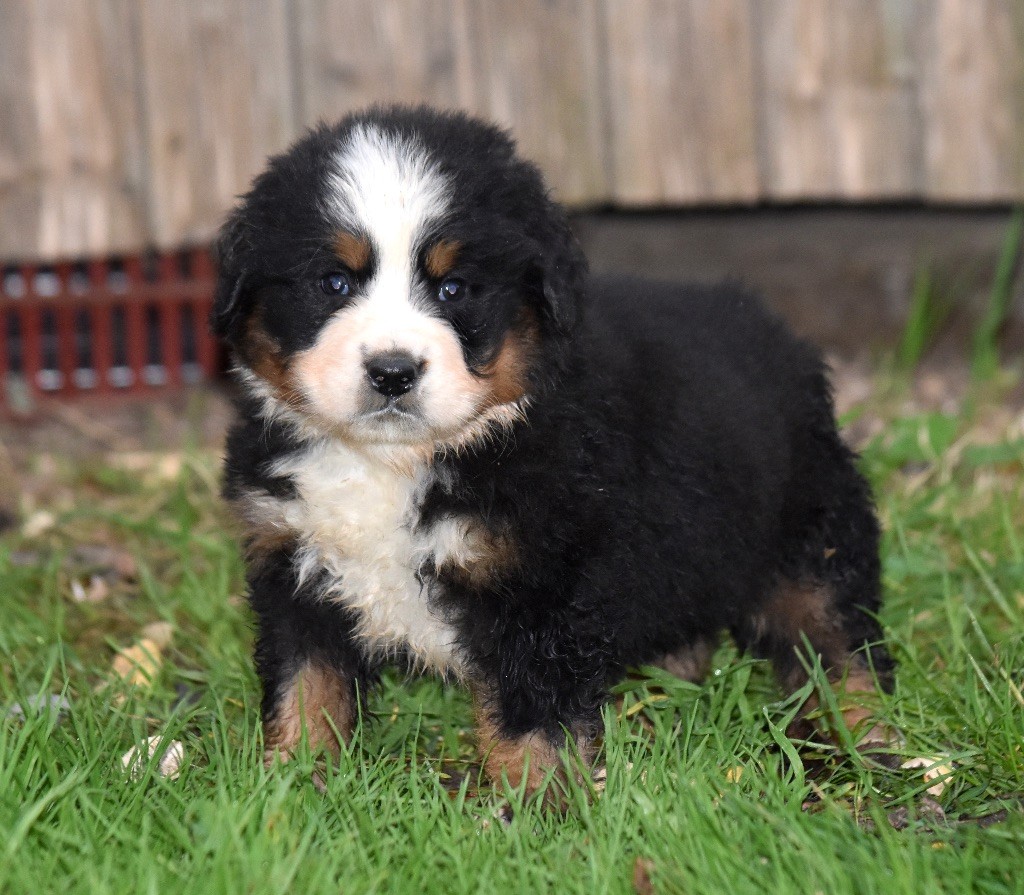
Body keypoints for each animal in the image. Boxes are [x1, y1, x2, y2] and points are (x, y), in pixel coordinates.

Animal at [218, 106, 897, 802]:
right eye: (333, 282)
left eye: (455, 289)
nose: (392, 371)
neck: (395, 461)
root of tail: (776, 331)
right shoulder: (292, 560)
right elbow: (307, 684)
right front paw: (293, 782)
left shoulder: (543, 580)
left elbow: (532, 713)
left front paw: (535, 804)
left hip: (812, 535)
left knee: (838, 641)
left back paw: (862, 733)